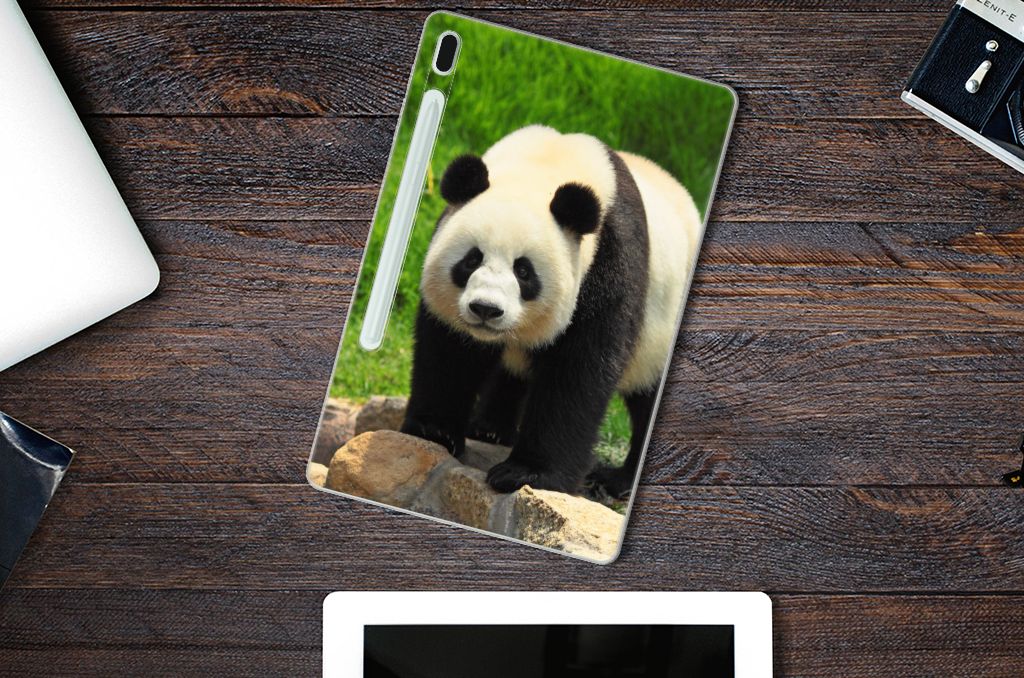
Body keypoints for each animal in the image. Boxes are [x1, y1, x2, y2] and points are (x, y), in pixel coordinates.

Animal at [400, 125, 702, 497]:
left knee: (647, 396)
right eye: (471, 259)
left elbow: (578, 370)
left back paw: (618, 480)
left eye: (524, 271)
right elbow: (451, 350)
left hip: (662, 328)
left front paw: (526, 474)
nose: (486, 309)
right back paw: (490, 428)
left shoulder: (609, 261)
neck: (545, 164)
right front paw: (434, 431)